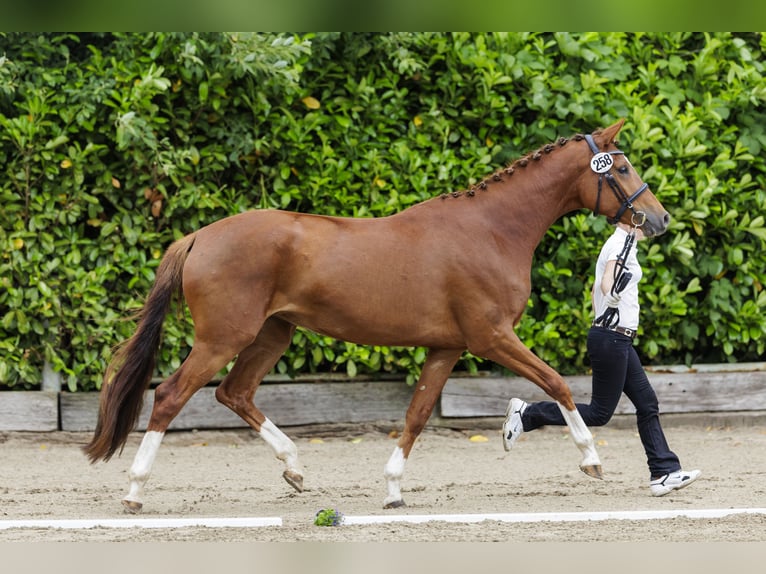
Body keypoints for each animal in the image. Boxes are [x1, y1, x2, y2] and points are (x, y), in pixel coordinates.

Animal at [85, 120, 672, 512]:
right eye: (621, 167)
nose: (659, 219)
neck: (491, 230)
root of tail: (198, 237)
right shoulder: (491, 337)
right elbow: (559, 383)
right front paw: (591, 460)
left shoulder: (448, 346)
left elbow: (416, 414)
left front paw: (392, 490)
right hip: (222, 338)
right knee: (170, 396)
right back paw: (135, 492)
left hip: (272, 334)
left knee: (235, 393)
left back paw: (295, 469)